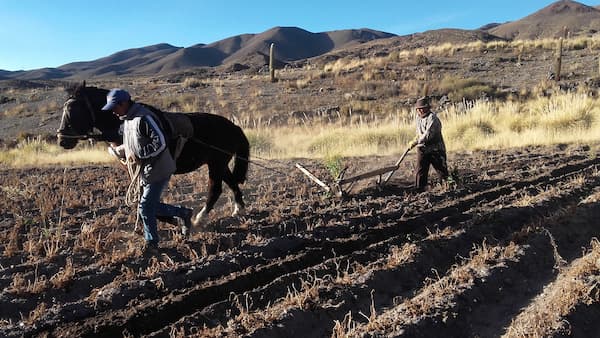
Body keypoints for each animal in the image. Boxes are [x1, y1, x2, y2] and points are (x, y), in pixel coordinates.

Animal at [56, 82, 248, 227]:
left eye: (74, 109)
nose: (62, 140)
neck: (122, 125)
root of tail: (234, 127)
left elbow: (146, 199)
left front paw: (173, 219)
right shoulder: (133, 168)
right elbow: (142, 197)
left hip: (216, 164)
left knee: (215, 189)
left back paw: (199, 219)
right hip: (219, 163)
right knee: (231, 183)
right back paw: (238, 209)